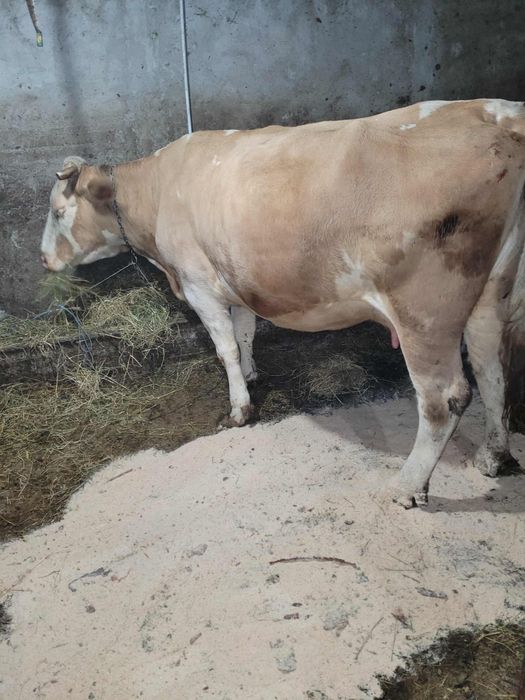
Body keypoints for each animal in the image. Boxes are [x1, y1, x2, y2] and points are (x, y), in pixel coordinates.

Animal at [40, 99, 525, 508]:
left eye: (59, 213)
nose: (43, 259)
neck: (160, 192)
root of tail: (496, 113)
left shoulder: (199, 284)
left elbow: (225, 347)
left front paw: (239, 408)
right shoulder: (234, 279)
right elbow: (245, 332)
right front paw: (252, 373)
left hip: (424, 309)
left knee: (445, 398)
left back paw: (406, 486)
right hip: (490, 293)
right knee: (492, 370)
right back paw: (493, 456)